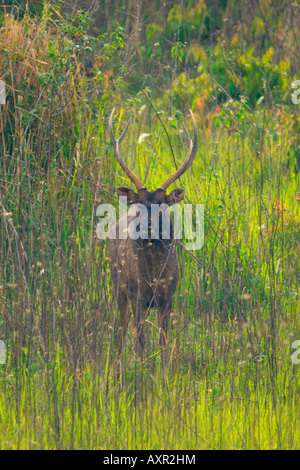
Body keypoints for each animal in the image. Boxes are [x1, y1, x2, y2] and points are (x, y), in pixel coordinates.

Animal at [107, 108, 197, 354]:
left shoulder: (168, 296)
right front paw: (141, 365)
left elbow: (163, 342)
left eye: (162, 204)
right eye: (139, 204)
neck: (154, 275)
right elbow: (140, 342)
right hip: (118, 284)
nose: (146, 225)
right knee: (121, 331)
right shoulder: (137, 294)